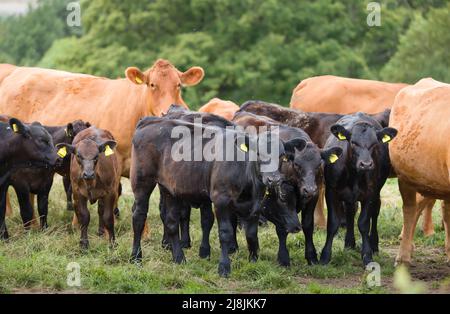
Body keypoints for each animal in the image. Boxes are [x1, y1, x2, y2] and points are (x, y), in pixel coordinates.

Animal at [130, 116, 298, 276]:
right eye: (258, 153)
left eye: (282, 156)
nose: (273, 179)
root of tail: (151, 120)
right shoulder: (221, 200)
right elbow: (225, 232)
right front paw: (224, 267)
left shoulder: (255, 204)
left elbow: (251, 234)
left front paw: (254, 262)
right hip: (142, 182)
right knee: (139, 216)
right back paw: (136, 257)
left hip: (169, 189)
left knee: (171, 221)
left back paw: (179, 258)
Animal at [320, 112, 398, 264]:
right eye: (353, 142)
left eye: (374, 144)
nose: (366, 164)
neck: (354, 176)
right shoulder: (331, 191)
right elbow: (332, 223)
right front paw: (325, 256)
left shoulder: (370, 193)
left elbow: (364, 223)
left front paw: (367, 255)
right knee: (350, 212)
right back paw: (349, 243)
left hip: (377, 192)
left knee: (375, 212)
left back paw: (374, 245)